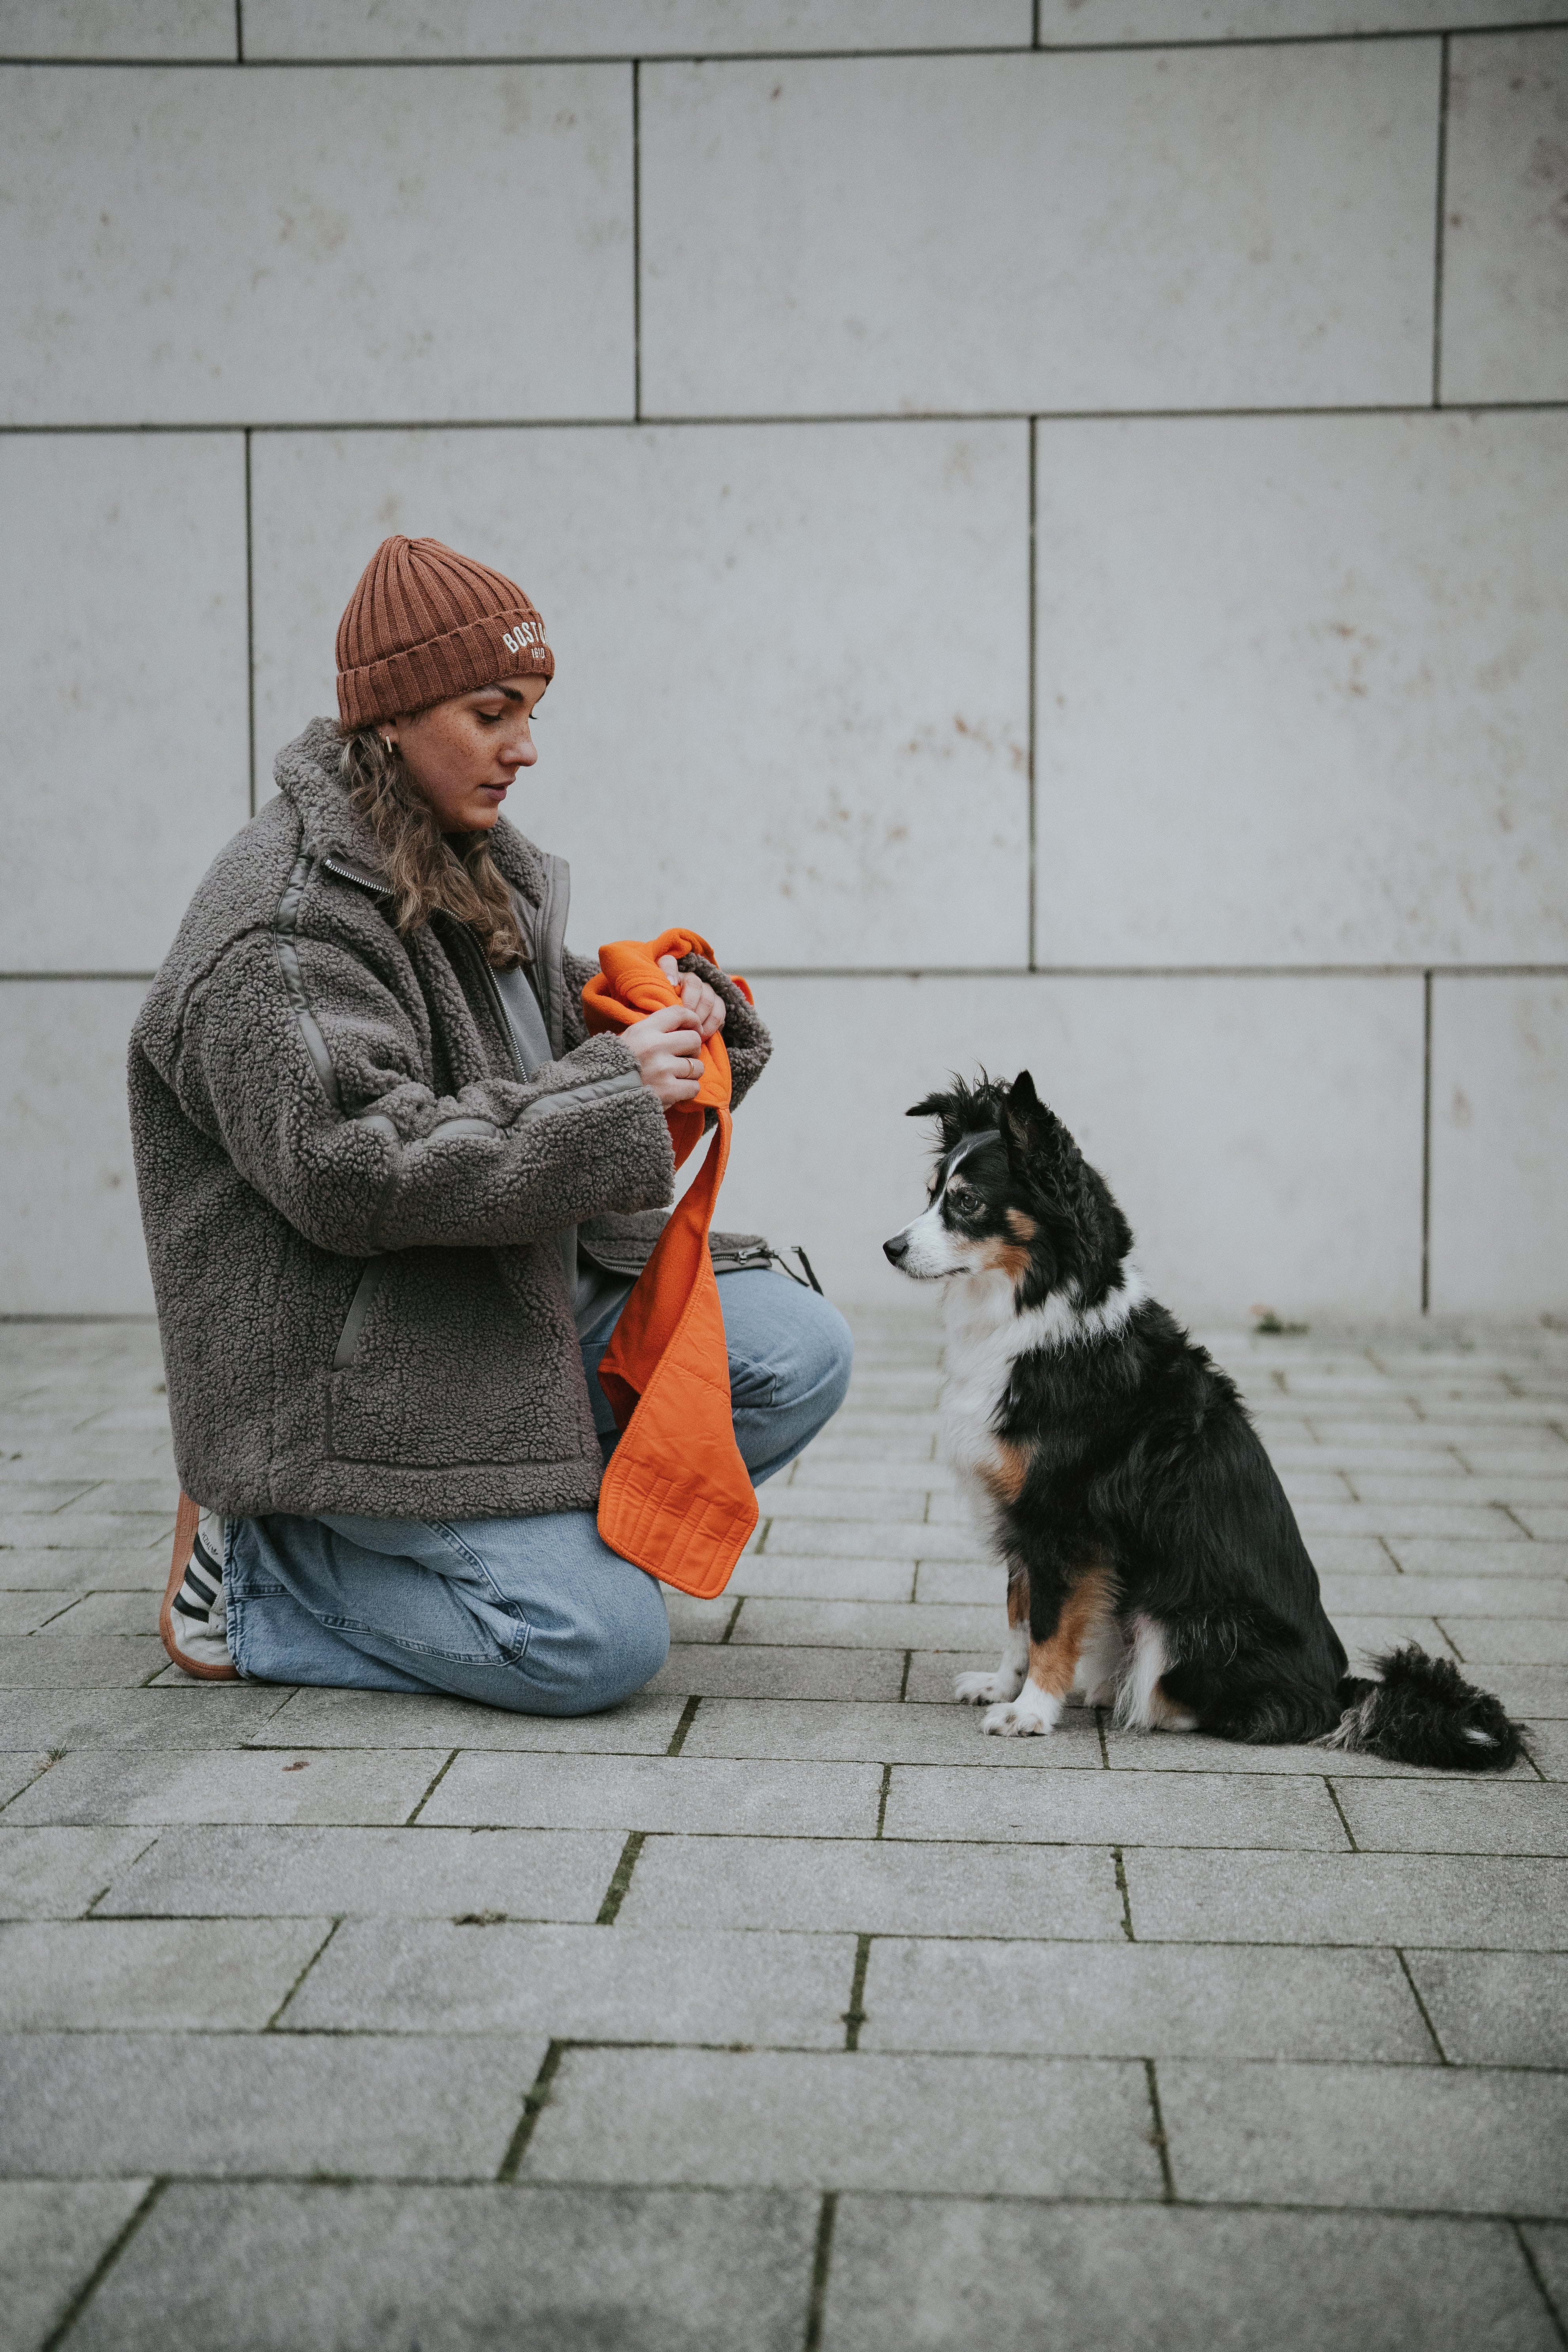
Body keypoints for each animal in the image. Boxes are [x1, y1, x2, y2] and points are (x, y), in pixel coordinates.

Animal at [888, 1068, 1523, 1769]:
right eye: (932, 1193)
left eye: (968, 1201)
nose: (891, 1248)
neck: (1039, 1310)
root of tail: (1338, 1689)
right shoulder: (1020, 1515)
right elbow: (1018, 1614)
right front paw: (1003, 1685)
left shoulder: (1063, 1519)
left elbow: (1049, 1625)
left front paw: (1031, 1711)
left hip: (1186, 1623)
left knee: (1229, 1705)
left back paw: (1134, 1700)